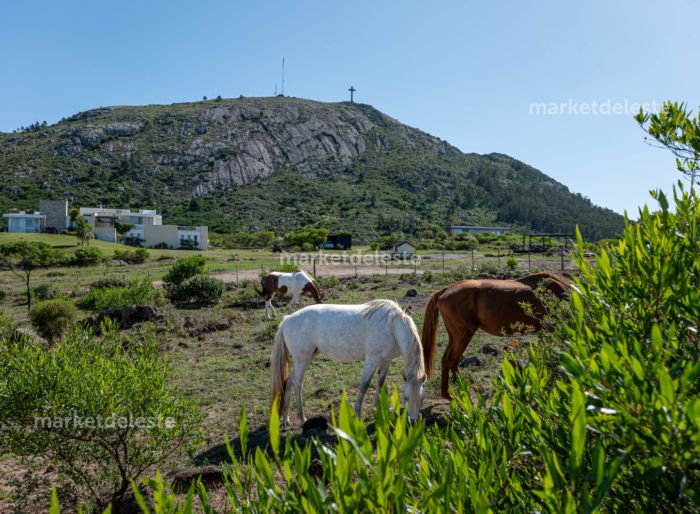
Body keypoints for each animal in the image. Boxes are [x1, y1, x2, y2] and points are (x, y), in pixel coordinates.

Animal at [270, 298, 426, 422]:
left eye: (422, 398)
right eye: (406, 397)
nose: (413, 421)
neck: (392, 325)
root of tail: (288, 319)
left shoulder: (386, 360)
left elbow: (380, 382)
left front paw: (377, 408)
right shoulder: (372, 359)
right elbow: (364, 385)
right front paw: (357, 413)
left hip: (306, 357)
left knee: (290, 381)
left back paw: (285, 418)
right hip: (302, 358)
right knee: (297, 383)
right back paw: (301, 417)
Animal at [422, 270, 568, 398]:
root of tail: (446, 289)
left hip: (454, 337)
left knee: (446, 359)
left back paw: (447, 394)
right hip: (463, 336)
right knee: (452, 360)